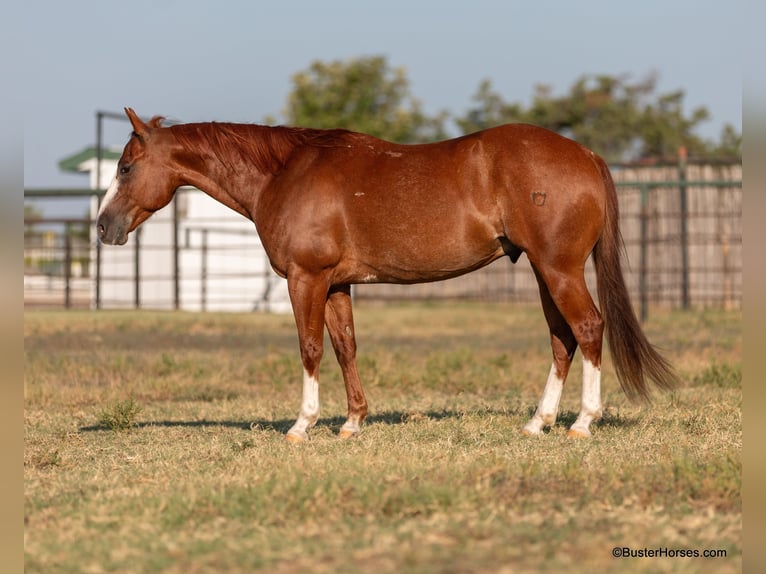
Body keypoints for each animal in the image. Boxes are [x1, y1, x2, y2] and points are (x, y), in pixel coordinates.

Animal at [97, 108, 677, 442]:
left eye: (125, 167)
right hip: (543, 271)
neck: (284, 173)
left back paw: (582, 422)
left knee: (588, 329)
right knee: (562, 338)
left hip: (558, 269)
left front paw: (302, 425)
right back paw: (539, 422)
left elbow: (310, 347)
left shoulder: (305, 278)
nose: (103, 226)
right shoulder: (335, 283)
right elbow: (345, 346)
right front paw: (353, 422)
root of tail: (586, 155)